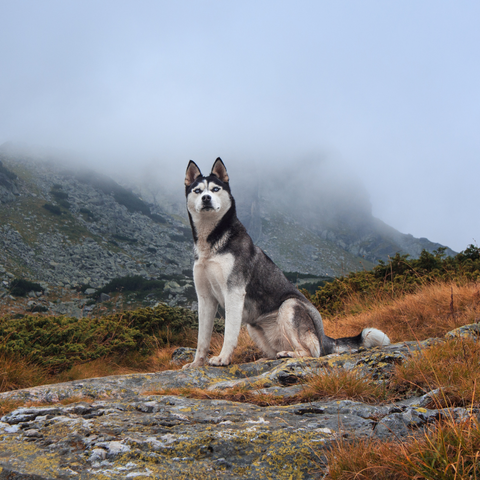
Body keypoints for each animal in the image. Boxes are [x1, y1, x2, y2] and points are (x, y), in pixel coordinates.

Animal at [184, 158, 390, 368]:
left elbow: (229, 333)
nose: (206, 198)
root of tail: (324, 336)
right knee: (276, 351)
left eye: (216, 189)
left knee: (312, 352)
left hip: (290, 306)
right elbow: (202, 339)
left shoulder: (234, 292)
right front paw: (196, 364)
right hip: (252, 326)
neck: (211, 243)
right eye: (197, 190)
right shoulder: (205, 298)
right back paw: (270, 356)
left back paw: (289, 354)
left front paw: (223, 358)